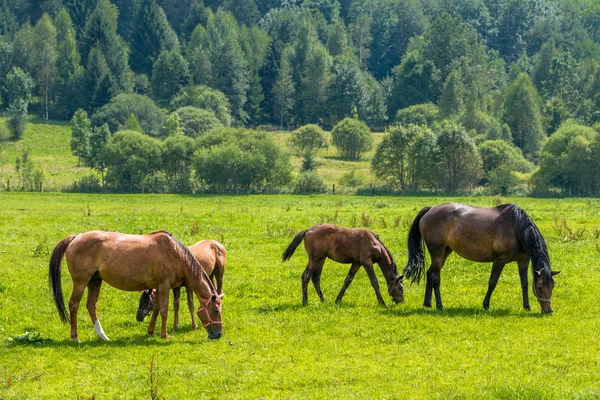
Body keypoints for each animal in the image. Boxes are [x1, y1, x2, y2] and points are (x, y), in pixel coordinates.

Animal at [48, 231, 224, 340]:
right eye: (215, 310)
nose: (219, 334)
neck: (175, 253)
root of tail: (75, 238)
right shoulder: (164, 285)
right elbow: (164, 311)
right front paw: (164, 335)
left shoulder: (159, 286)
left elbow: (156, 309)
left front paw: (151, 332)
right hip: (81, 282)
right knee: (74, 305)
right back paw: (75, 337)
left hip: (95, 281)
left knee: (91, 305)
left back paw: (103, 336)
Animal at [400, 205, 560, 314]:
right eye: (540, 287)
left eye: (552, 286)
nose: (548, 311)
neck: (516, 226)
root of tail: (430, 209)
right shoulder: (500, 260)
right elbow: (492, 282)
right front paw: (486, 304)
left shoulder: (523, 260)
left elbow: (524, 284)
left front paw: (527, 306)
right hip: (437, 252)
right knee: (435, 277)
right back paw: (440, 306)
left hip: (445, 251)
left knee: (430, 273)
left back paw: (427, 303)